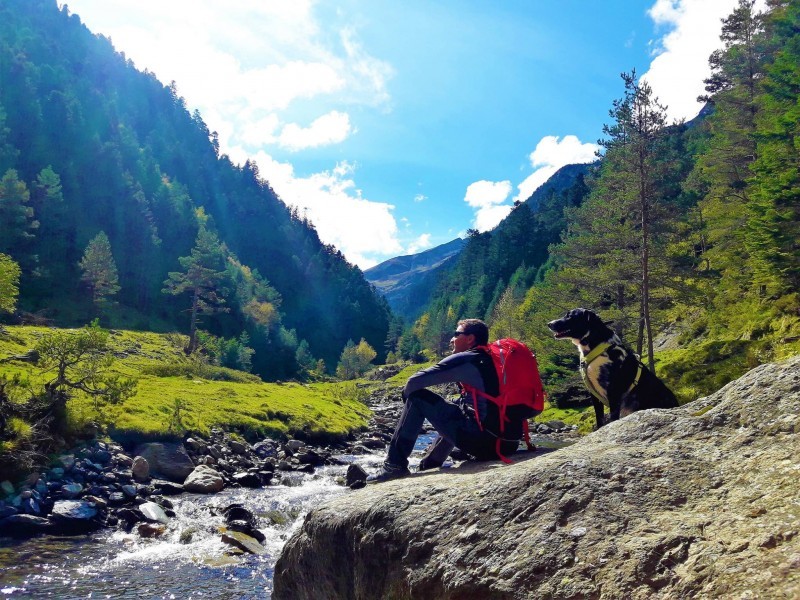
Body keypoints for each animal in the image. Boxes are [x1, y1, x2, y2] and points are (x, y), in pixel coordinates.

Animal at [544, 308, 676, 428]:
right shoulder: (594, 394)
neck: (596, 347)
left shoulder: (613, 392)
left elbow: (613, 418)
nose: (549, 324)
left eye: (570, 316)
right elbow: (599, 418)